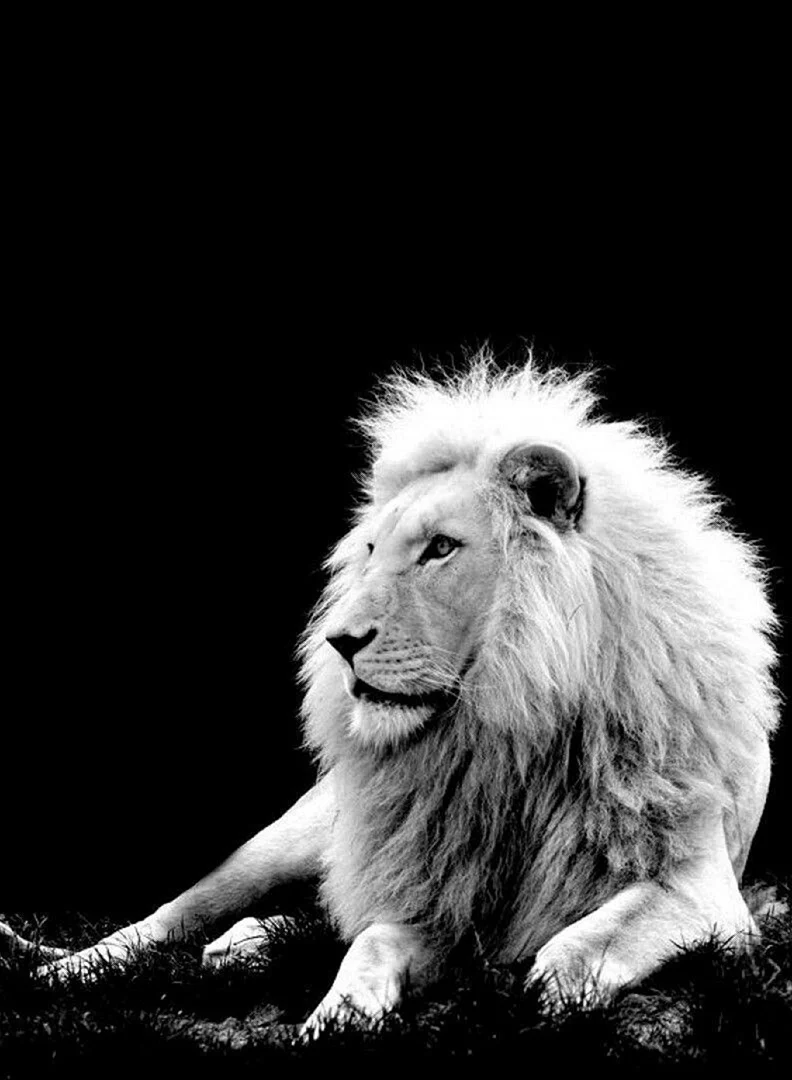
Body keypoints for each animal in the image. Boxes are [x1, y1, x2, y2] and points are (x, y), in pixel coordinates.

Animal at [1, 351, 779, 1034]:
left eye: (440, 548)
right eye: (373, 551)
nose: (338, 641)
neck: (509, 725)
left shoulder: (702, 890)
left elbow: (581, 941)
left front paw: (546, 992)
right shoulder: (431, 893)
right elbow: (371, 942)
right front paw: (337, 1018)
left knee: (300, 922)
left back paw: (239, 949)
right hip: (285, 841)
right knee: (170, 919)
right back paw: (66, 972)